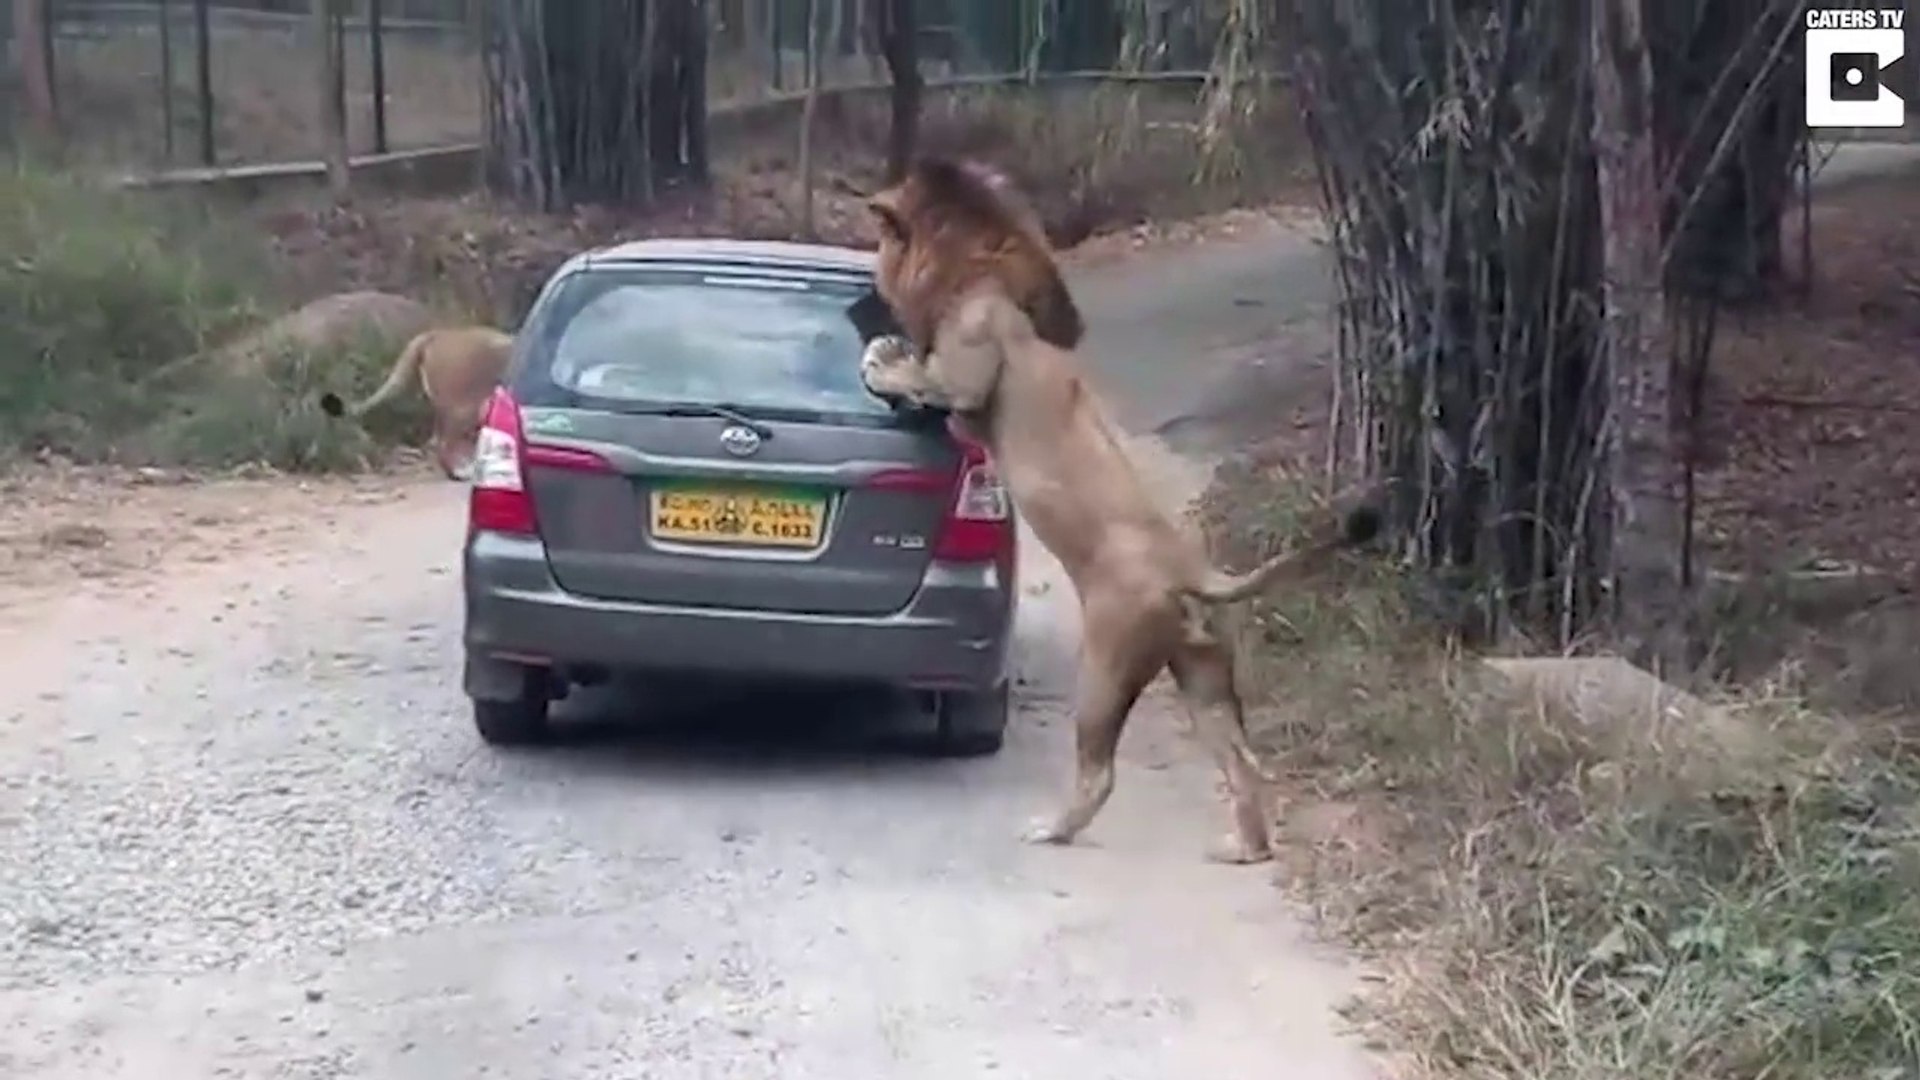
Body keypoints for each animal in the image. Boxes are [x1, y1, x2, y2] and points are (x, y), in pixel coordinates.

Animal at [859, 158, 1380, 864]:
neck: (973, 266)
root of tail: (1190, 569)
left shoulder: (966, 375)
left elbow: (922, 376)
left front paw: (882, 359)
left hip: (1106, 663)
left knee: (1100, 771)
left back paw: (1053, 828)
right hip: (1202, 672)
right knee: (1242, 761)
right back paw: (1243, 848)